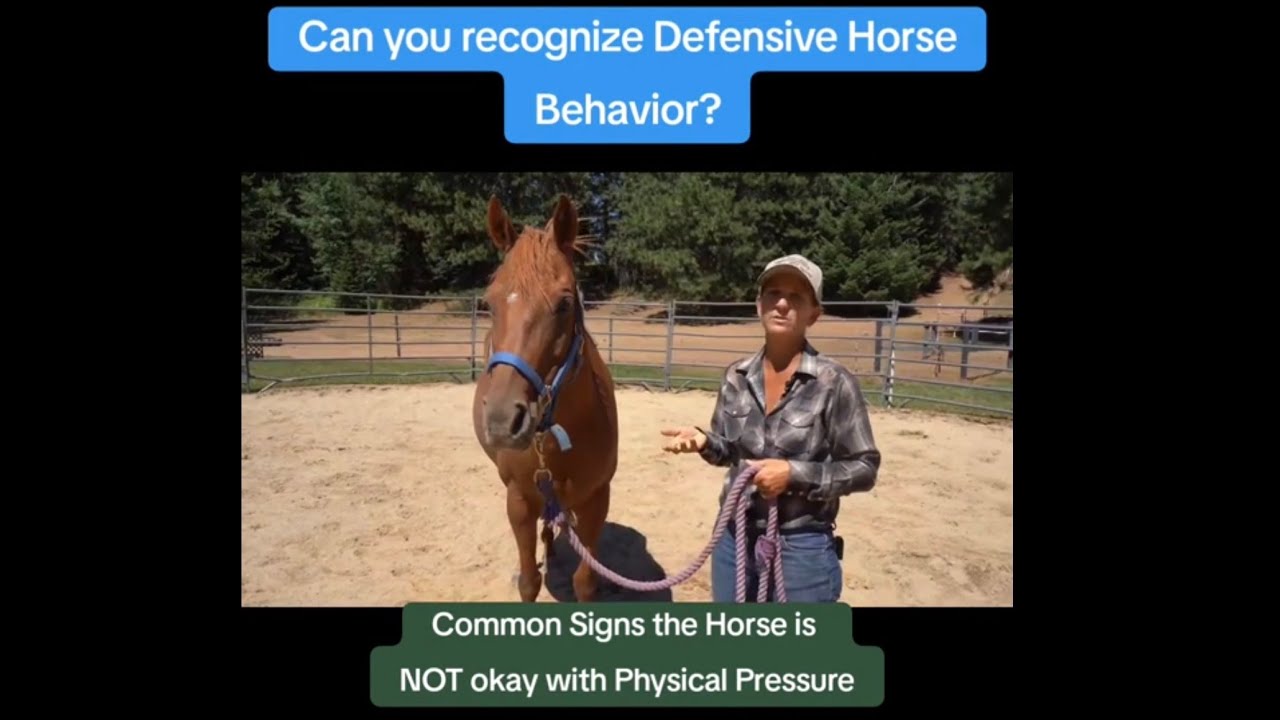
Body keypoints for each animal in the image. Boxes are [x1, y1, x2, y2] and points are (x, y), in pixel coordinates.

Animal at [471, 193, 619, 603]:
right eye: (490, 303)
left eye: (565, 304)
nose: (503, 421)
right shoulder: (519, 502)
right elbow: (528, 581)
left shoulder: (596, 499)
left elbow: (585, 581)